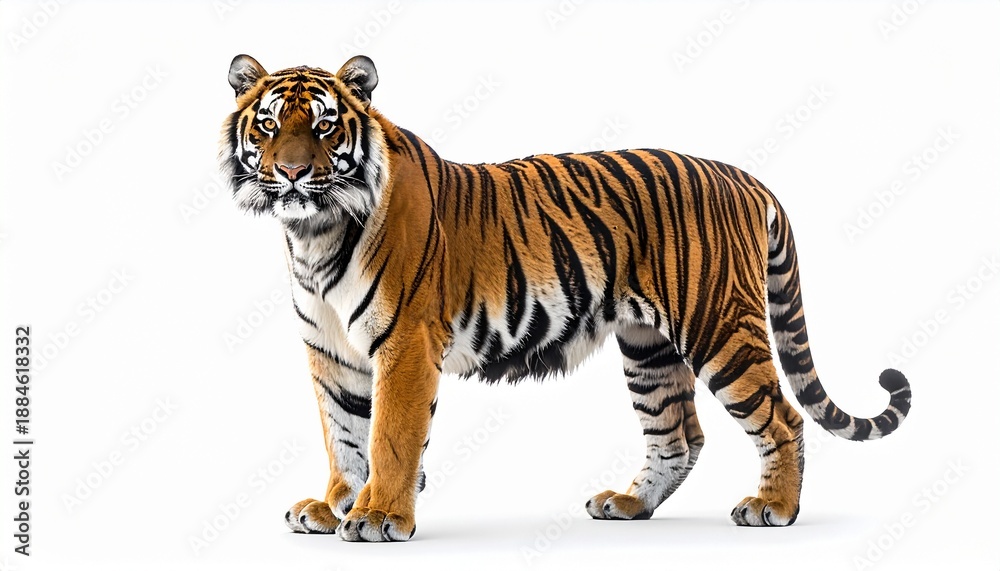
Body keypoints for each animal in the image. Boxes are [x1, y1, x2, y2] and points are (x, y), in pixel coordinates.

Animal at [220, 54, 912, 542]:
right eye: (270, 124)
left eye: (324, 125)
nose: (290, 172)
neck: (314, 233)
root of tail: (743, 177)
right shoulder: (332, 353)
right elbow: (344, 432)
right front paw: (334, 505)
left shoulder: (406, 343)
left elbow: (388, 434)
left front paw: (379, 516)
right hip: (649, 347)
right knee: (678, 435)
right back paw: (629, 504)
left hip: (719, 325)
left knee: (782, 417)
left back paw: (773, 507)